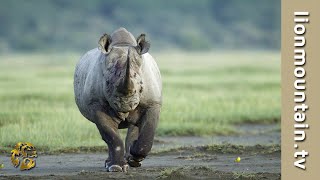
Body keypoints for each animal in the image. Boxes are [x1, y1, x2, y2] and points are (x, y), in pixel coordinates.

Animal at [74, 27, 161, 172]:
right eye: (107, 83)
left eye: (141, 85)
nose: (125, 104)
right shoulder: (96, 105)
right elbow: (111, 135)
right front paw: (116, 167)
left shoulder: (152, 103)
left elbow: (148, 133)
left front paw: (134, 156)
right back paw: (110, 163)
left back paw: (132, 159)